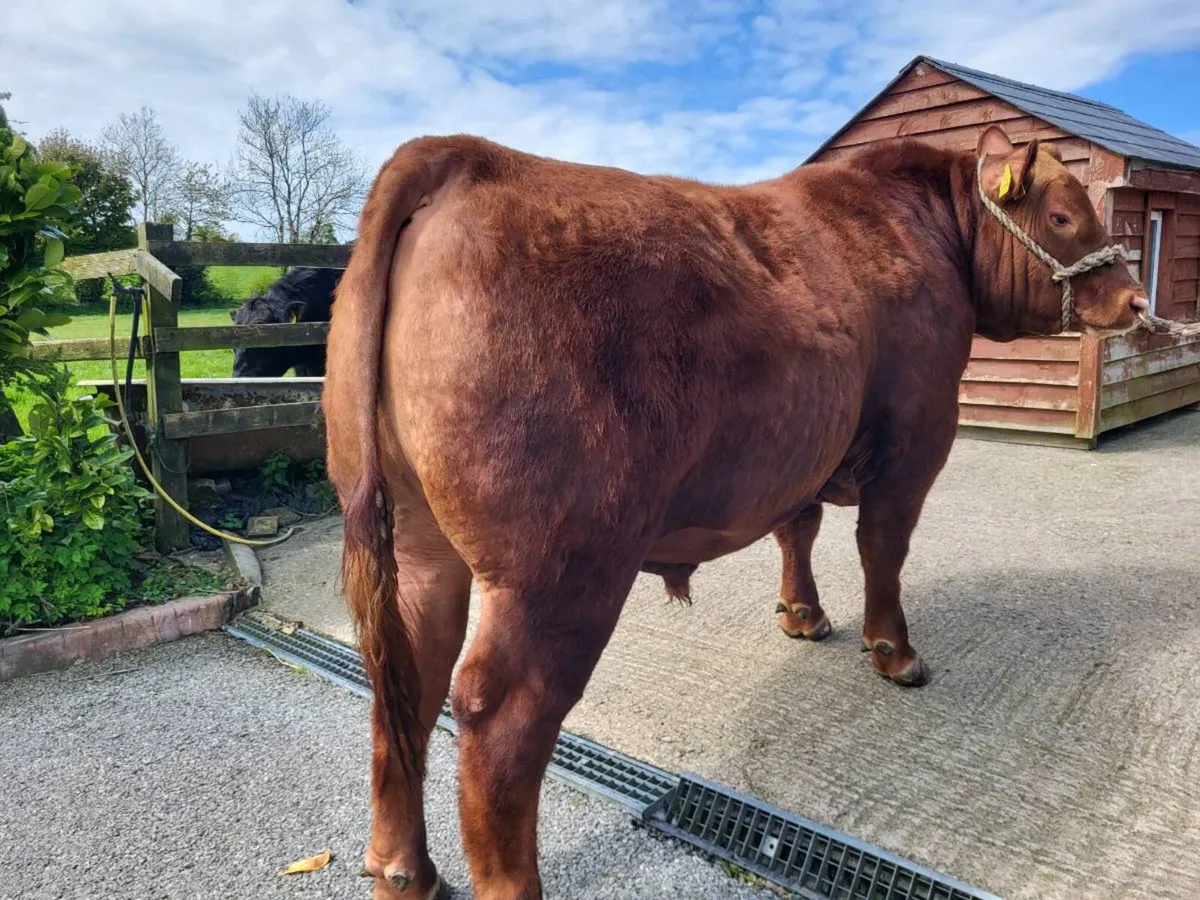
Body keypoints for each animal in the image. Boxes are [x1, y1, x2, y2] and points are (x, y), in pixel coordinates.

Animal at [321, 125, 1148, 899]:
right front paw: (894, 652)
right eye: (1065, 216)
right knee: (501, 714)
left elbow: (798, 527)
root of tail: (461, 153)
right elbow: (882, 546)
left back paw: (404, 869)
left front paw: (802, 614)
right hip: (561, 565)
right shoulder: (916, 436)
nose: (1137, 301)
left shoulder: (800, 446)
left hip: (420, 544)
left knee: (408, 676)